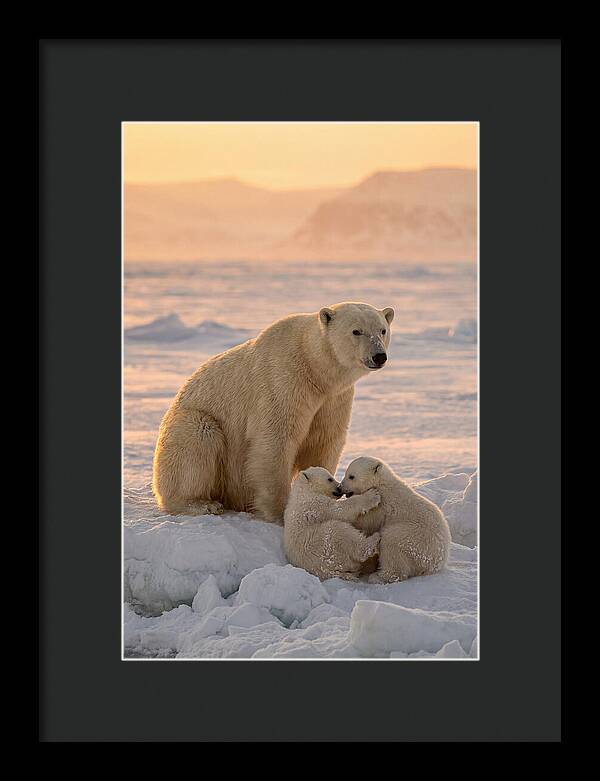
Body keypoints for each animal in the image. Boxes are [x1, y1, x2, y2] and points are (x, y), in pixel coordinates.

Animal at [152, 302, 394, 522]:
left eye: (382, 330)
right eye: (356, 331)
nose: (379, 356)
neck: (314, 369)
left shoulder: (333, 398)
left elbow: (323, 440)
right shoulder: (283, 381)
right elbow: (275, 440)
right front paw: (280, 512)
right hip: (192, 423)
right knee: (197, 439)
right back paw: (202, 504)